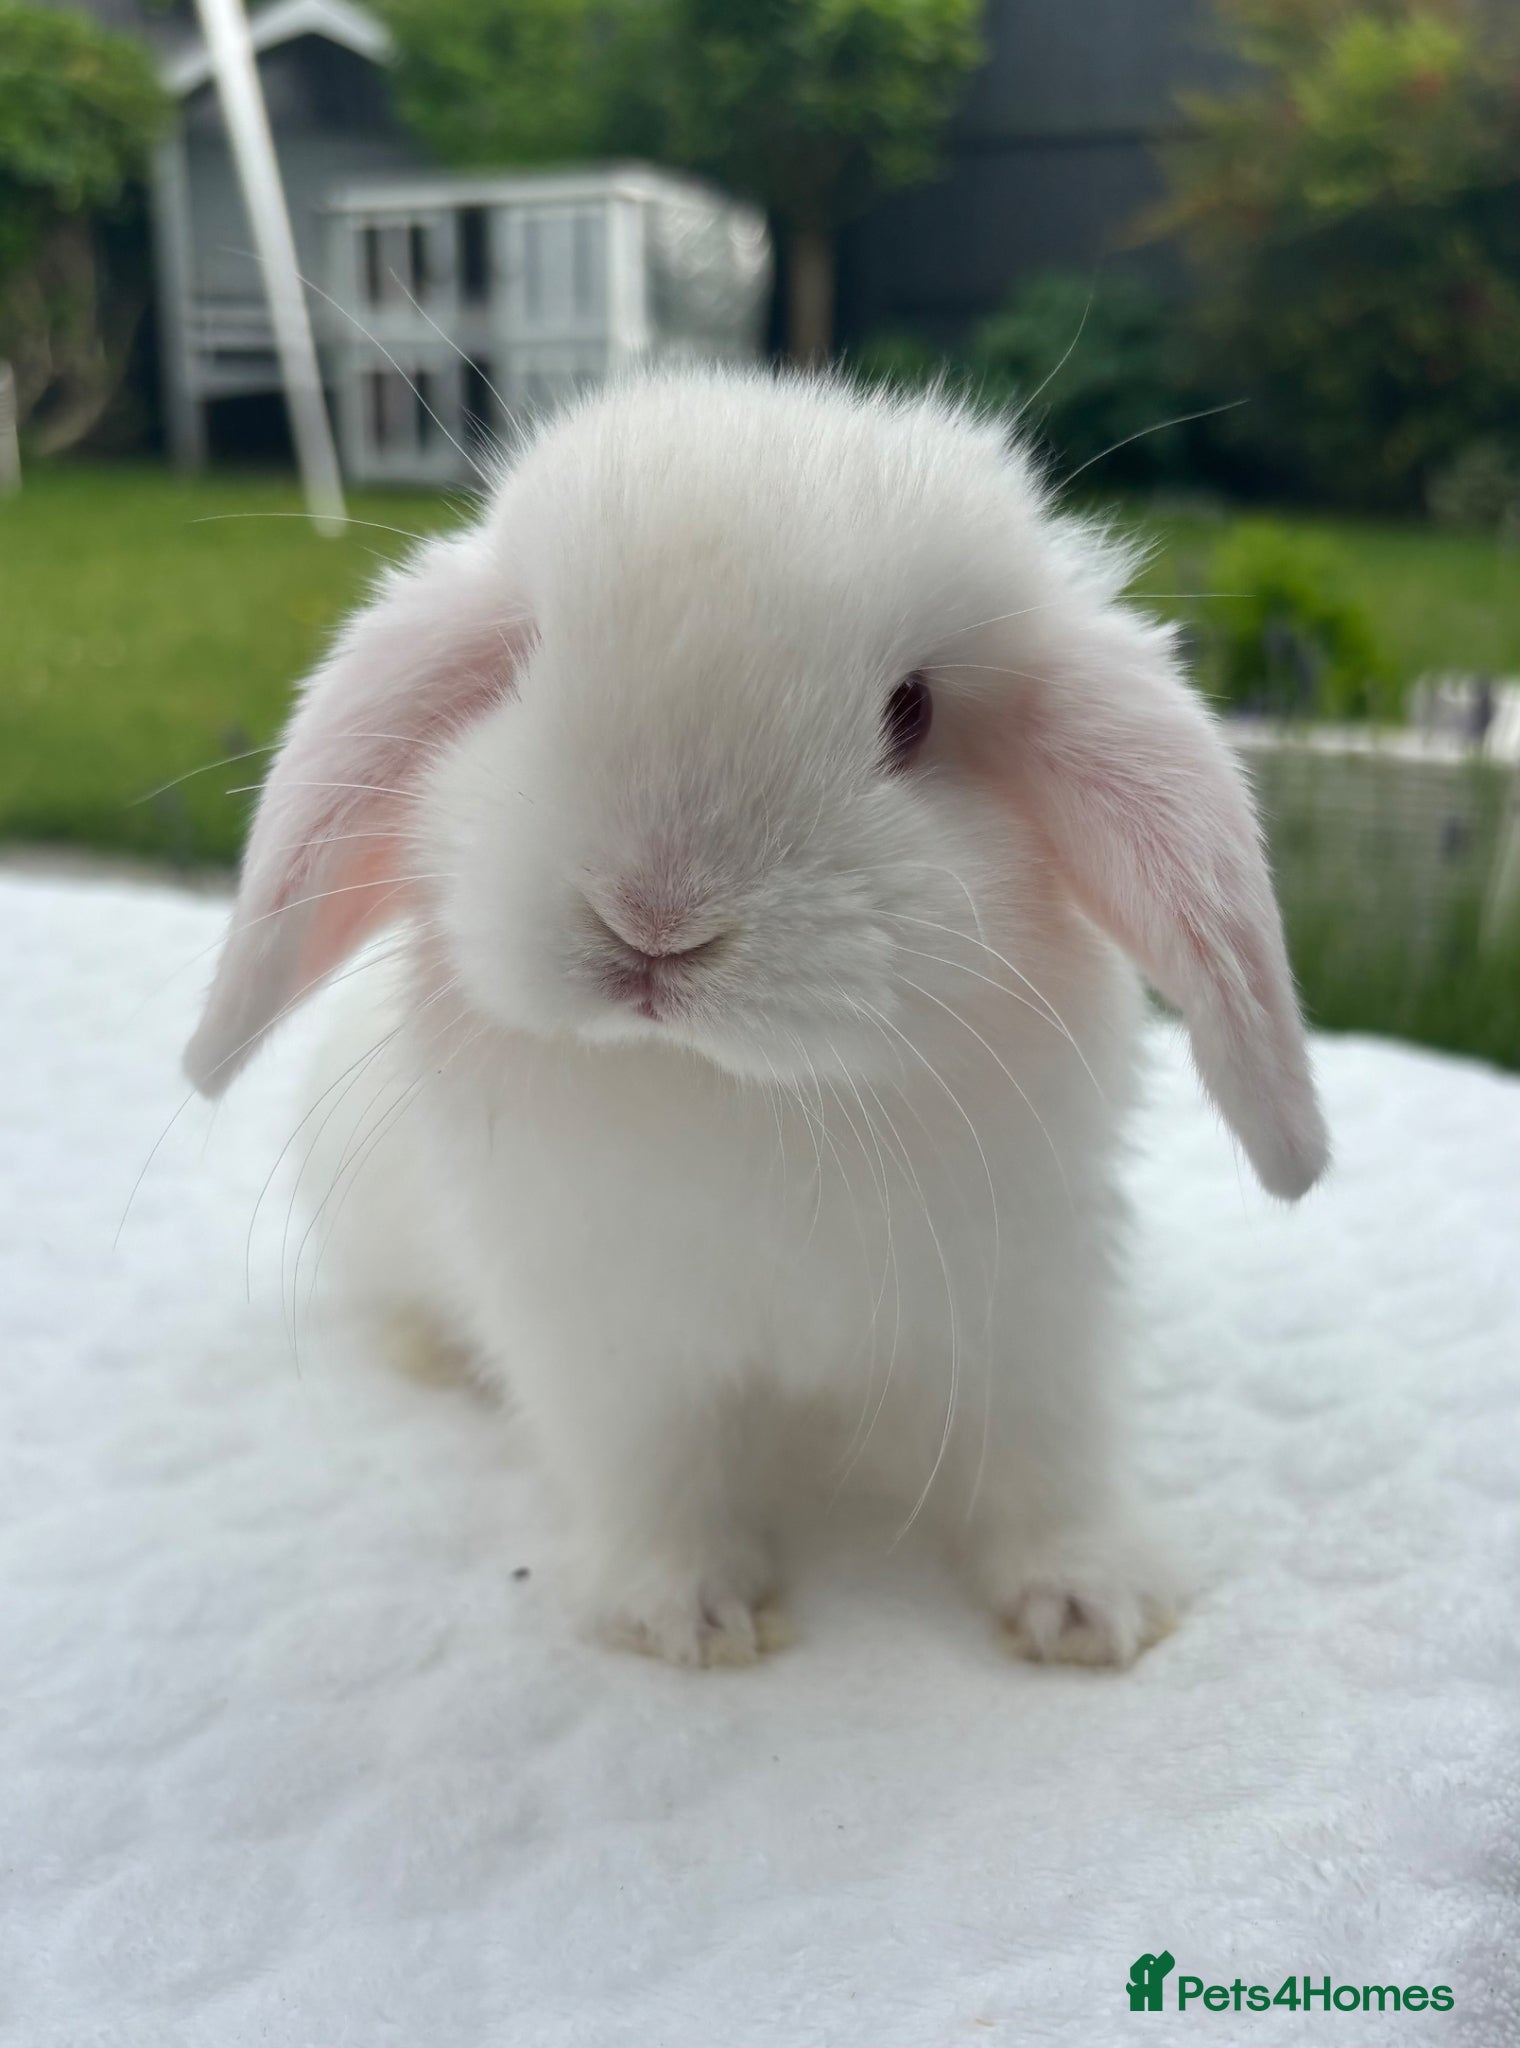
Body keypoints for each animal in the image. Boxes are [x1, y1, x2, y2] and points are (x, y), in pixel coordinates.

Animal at [184, 368, 1328, 1669]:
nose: (651, 917)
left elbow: (1045, 1460)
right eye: (525, 664)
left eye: (909, 711)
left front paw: (1089, 1604)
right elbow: (658, 1483)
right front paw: (688, 1614)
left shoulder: (1025, 1310)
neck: (740, 1092)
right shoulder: (614, 1353)